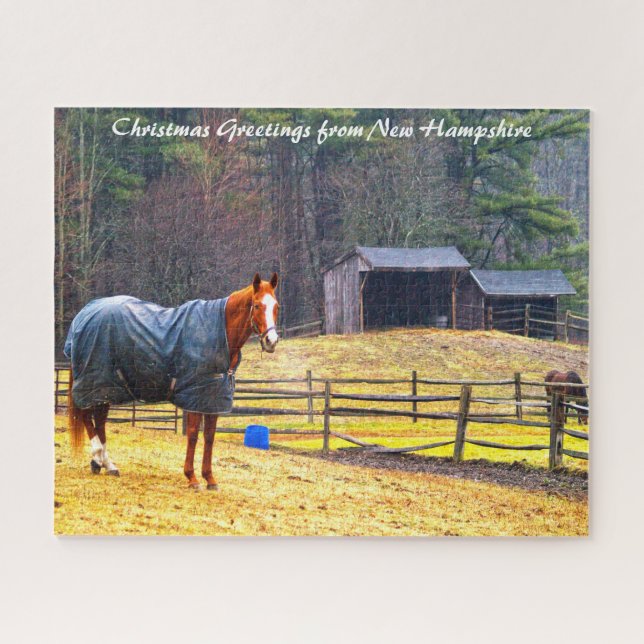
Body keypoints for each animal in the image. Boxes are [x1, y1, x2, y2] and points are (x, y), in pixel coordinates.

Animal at [65, 272, 280, 490]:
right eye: (257, 305)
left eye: (276, 306)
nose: (271, 341)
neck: (220, 335)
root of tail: (84, 315)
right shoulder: (195, 395)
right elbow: (193, 435)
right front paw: (192, 477)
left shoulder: (213, 397)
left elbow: (209, 436)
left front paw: (210, 479)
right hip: (94, 384)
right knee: (87, 416)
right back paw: (98, 456)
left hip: (105, 388)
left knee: (99, 421)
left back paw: (106, 465)